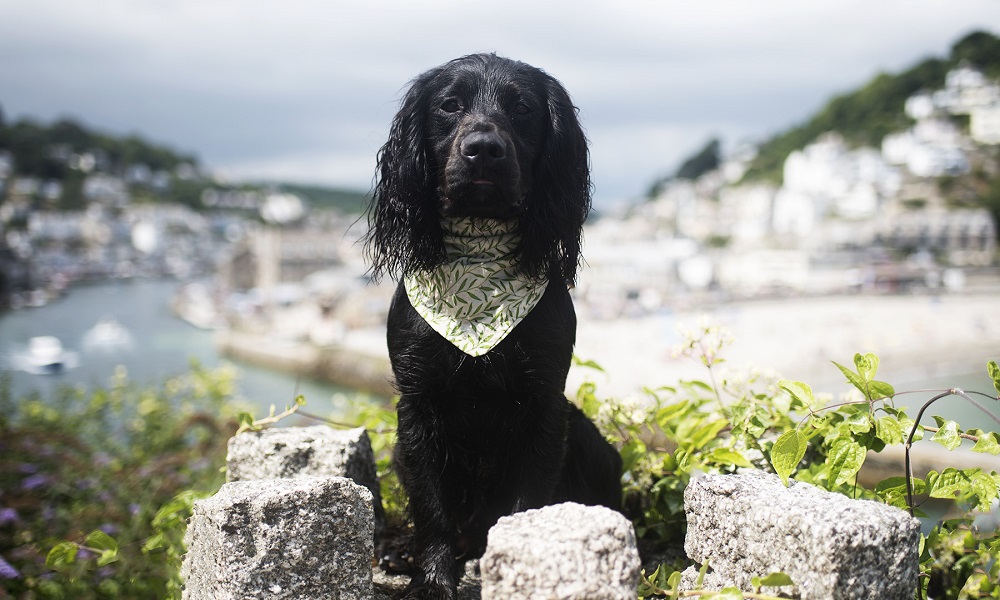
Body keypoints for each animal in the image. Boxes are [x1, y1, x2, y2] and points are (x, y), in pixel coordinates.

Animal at [364, 54, 620, 596]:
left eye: (522, 108)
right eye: (449, 105)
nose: (483, 148)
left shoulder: (544, 404)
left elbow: (526, 501)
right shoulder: (418, 408)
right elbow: (432, 508)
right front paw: (431, 579)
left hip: (590, 437)